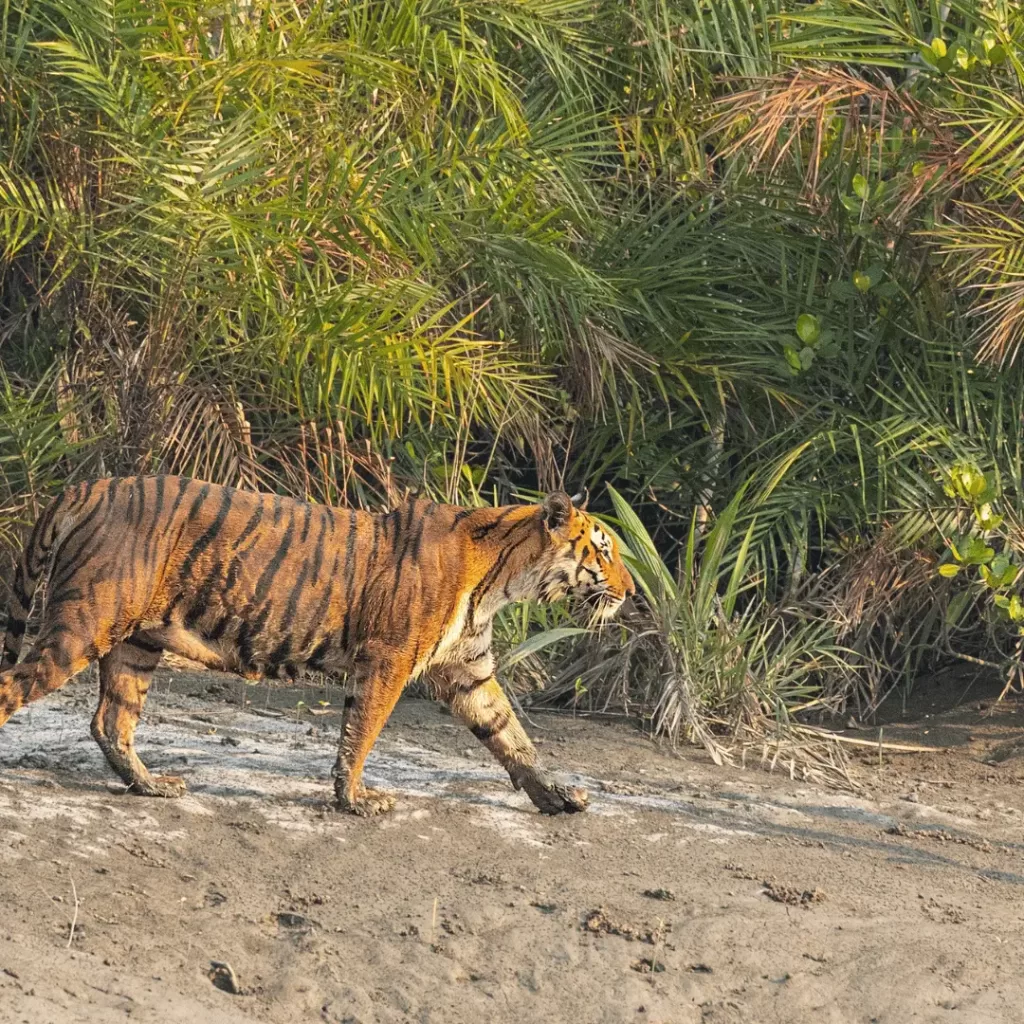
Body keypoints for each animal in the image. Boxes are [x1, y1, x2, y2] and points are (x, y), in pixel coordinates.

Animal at [0, 477, 634, 815]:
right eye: (603, 551)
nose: (630, 592)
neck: (503, 578)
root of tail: (92, 485)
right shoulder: (388, 660)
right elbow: (362, 733)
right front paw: (355, 800)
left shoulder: (469, 671)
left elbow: (512, 736)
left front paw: (557, 795)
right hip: (84, 625)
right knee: (16, 687)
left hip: (135, 643)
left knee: (110, 721)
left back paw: (152, 784)